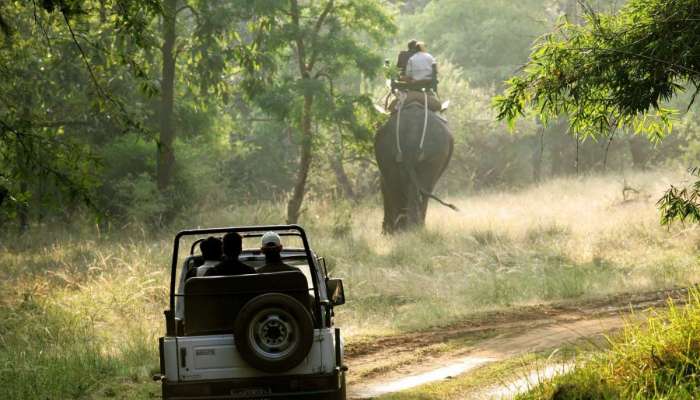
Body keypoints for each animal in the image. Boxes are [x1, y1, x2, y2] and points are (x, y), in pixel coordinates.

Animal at [374, 101, 456, 233]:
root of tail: (411, 140)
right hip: (432, 154)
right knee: (422, 188)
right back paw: (410, 227)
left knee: (404, 188)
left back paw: (407, 228)